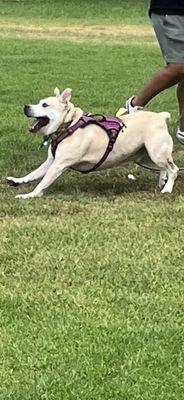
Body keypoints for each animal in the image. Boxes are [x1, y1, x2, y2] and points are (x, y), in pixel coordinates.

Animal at [7, 88, 178, 199]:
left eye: (45, 105)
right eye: (38, 102)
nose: (26, 107)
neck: (68, 125)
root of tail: (160, 117)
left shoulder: (58, 165)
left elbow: (42, 183)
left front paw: (29, 195)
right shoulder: (50, 162)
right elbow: (33, 174)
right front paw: (17, 180)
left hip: (156, 153)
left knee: (173, 169)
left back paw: (167, 189)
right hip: (144, 156)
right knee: (163, 168)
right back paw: (162, 181)